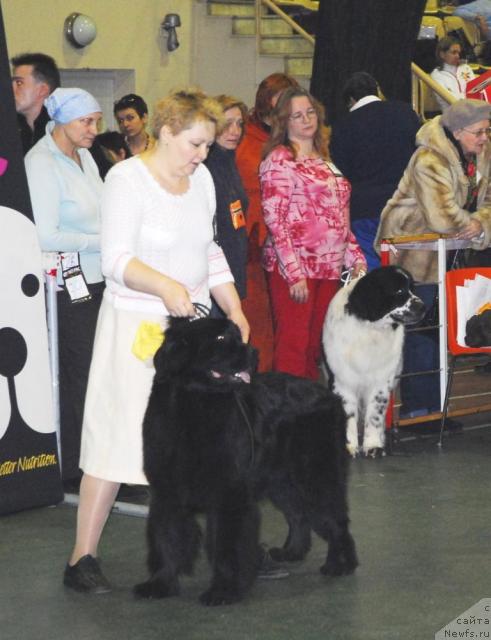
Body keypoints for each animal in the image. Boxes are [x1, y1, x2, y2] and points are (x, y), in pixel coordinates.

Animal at [135, 318, 358, 608]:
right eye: (220, 338)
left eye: (238, 335)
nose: (254, 352)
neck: (193, 408)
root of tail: (331, 395)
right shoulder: (166, 490)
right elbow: (165, 537)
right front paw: (160, 583)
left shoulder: (230, 494)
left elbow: (227, 545)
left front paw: (224, 591)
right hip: (281, 480)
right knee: (298, 514)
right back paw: (291, 552)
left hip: (316, 473)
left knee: (334, 517)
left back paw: (340, 564)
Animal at [324, 264, 424, 456]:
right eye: (399, 290)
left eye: (412, 288)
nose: (423, 307)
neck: (371, 330)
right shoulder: (342, 381)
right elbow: (348, 415)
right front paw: (349, 446)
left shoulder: (381, 381)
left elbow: (375, 415)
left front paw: (373, 445)